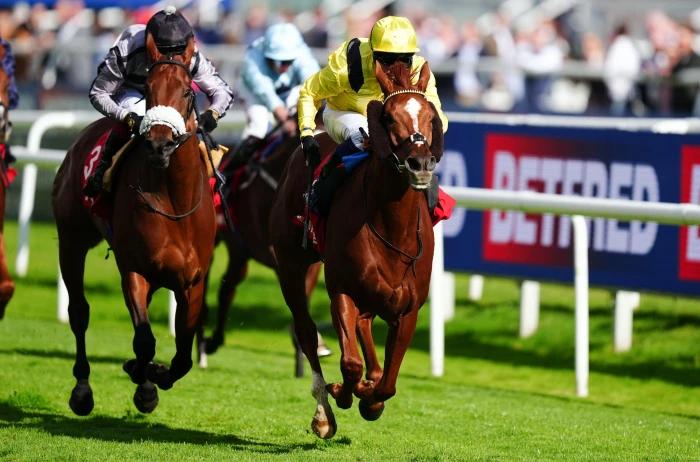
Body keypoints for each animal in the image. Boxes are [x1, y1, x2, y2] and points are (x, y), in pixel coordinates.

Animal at [52, 33, 215, 416]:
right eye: (149, 89)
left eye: (187, 91)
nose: (159, 143)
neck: (175, 203)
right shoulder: (135, 270)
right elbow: (144, 341)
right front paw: (142, 377)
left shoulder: (193, 281)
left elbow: (183, 353)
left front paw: (154, 377)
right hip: (71, 240)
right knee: (79, 311)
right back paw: (82, 391)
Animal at [270, 59, 442, 438]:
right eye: (388, 117)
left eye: (430, 114)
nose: (420, 164)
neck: (393, 228)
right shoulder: (342, 290)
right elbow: (349, 363)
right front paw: (342, 393)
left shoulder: (408, 309)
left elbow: (387, 383)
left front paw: (371, 399)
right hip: (291, 266)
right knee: (306, 331)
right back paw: (323, 412)